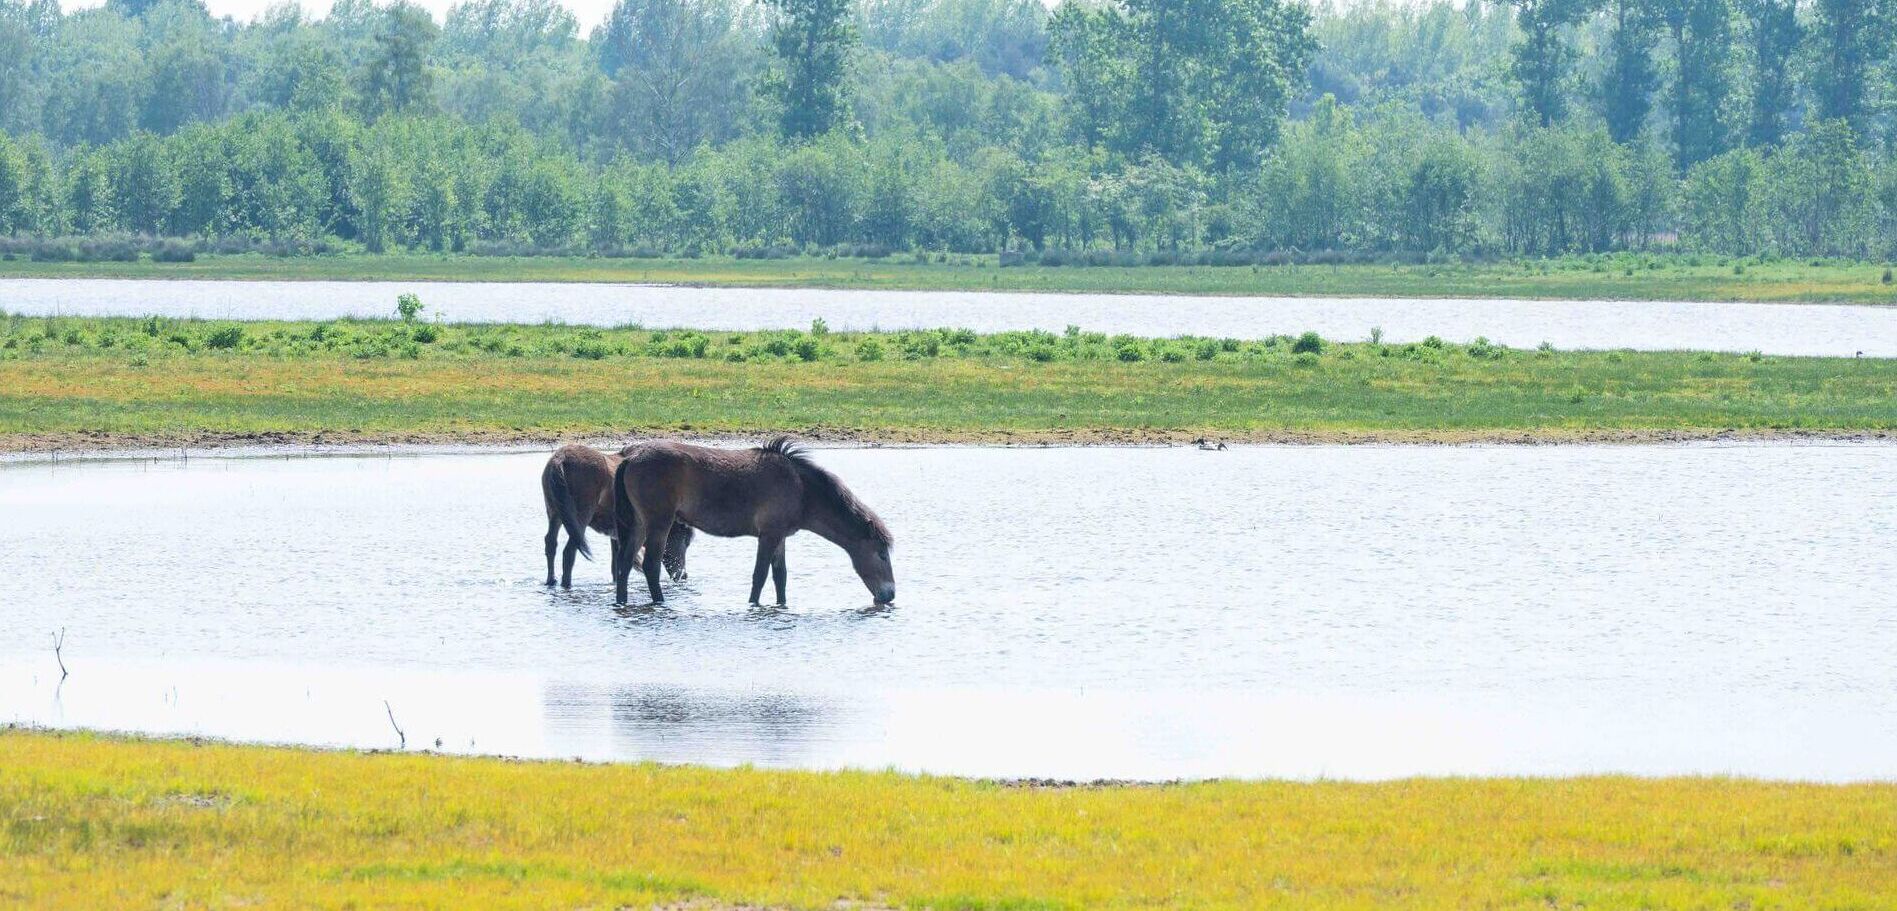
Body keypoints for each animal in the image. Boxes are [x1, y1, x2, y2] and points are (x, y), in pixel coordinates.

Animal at [541, 444, 694, 589]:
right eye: (685, 540)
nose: (683, 575)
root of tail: (561, 459)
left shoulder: (616, 533)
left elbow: (615, 563)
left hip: (554, 512)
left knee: (550, 543)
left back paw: (551, 580)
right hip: (580, 517)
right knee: (569, 551)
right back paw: (566, 584)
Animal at [610, 437, 895, 607]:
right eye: (881, 554)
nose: (890, 594)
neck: (802, 489)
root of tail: (631, 457)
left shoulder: (779, 536)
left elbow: (780, 576)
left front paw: (781, 605)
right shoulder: (768, 535)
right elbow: (760, 575)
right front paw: (753, 605)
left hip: (639, 524)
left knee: (624, 564)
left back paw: (621, 602)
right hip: (659, 523)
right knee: (650, 565)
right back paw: (659, 603)